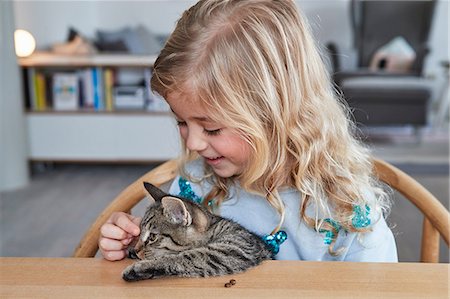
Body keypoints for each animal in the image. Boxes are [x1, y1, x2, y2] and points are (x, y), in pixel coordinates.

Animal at [121, 182, 272, 282]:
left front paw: (139, 268)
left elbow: (181, 257)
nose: (136, 250)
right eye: (140, 233)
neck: (213, 229)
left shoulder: (230, 250)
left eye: (152, 237)